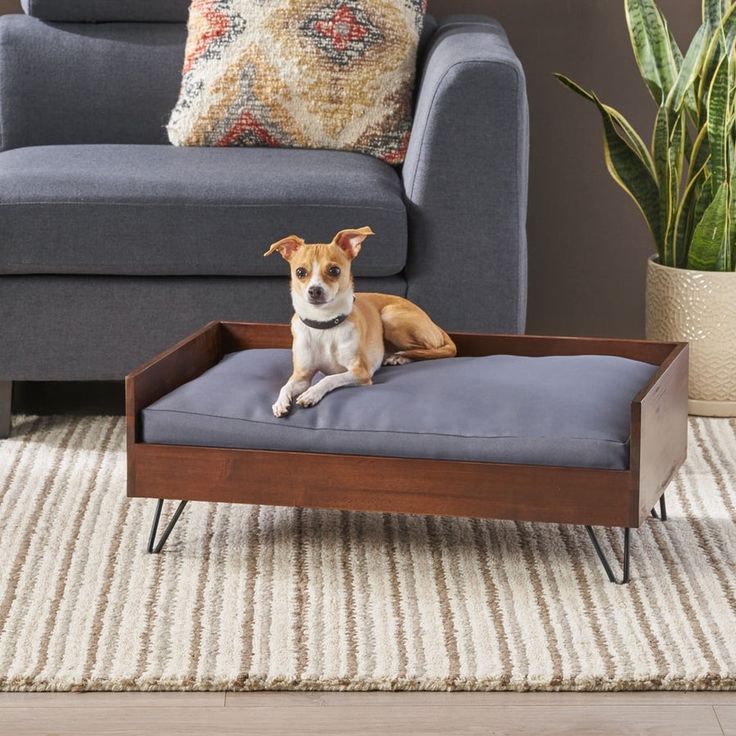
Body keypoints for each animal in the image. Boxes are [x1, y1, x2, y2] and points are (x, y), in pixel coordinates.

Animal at [264, 224, 454, 420]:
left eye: (334, 270)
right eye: (300, 272)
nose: (315, 290)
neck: (325, 324)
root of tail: (435, 324)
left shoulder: (360, 372)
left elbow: (329, 378)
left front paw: (311, 393)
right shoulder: (301, 376)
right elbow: (285, 386)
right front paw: (280, 403)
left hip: (390, 316)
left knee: (426, 350)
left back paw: (400, 356)